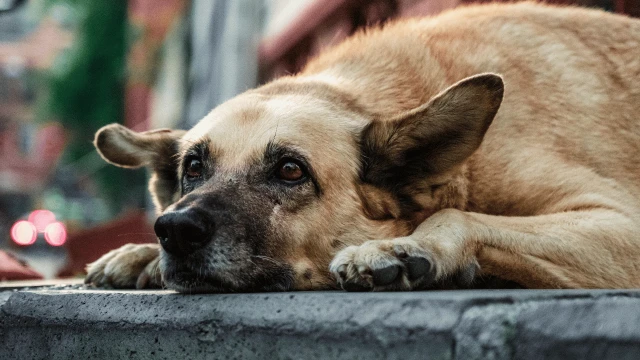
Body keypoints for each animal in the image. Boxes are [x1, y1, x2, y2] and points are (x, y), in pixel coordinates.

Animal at [84, 1, 640, 292]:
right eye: (193, 168)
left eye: (291, 170)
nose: (175, 230)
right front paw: (141, 255)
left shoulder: (621, 223)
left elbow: (458, 216)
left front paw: (406, 246)